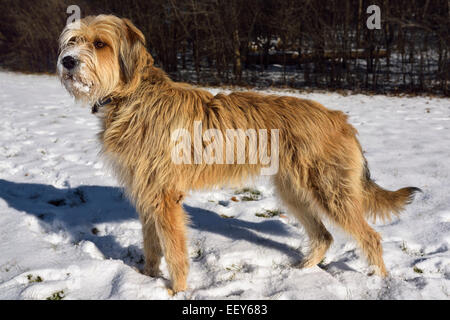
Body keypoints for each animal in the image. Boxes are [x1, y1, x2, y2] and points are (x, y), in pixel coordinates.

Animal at [58, 16, 420, 294]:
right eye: (73, 40)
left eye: (100, 43)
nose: (67, 61)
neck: (132, 95)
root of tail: (341, 119)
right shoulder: (146, 193)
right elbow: (151, 246)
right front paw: (146, 280)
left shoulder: (164, 198)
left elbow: (174, 252)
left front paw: (177, 290)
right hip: (294, 192)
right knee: (324, 235)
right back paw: (303, 271)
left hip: (332, 192)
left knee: (371, 237)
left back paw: (381, 282)